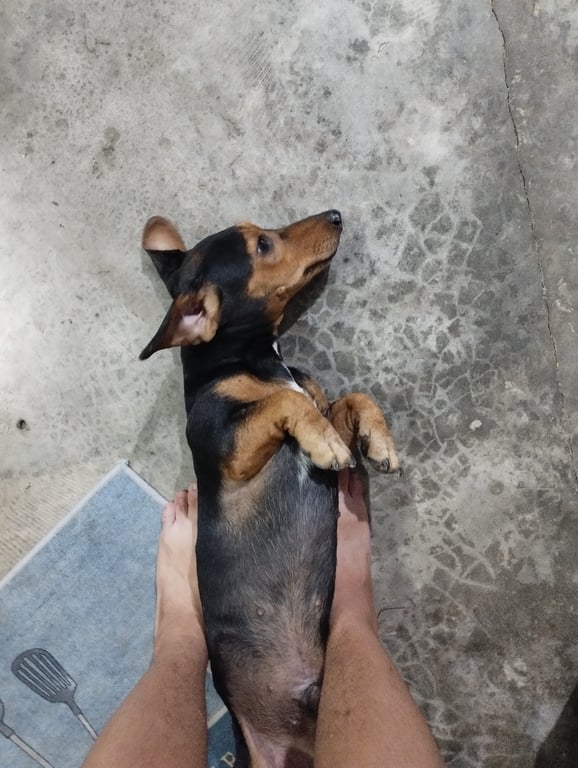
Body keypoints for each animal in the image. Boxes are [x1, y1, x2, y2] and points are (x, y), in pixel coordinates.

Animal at [140, 210, 400, 767]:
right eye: (262, 245)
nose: (336, 214)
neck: (252, 360)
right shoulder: (230, 448)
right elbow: (285, 403)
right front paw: (326, 444)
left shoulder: (320, 404)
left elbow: (348, 398)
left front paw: (377, 441)